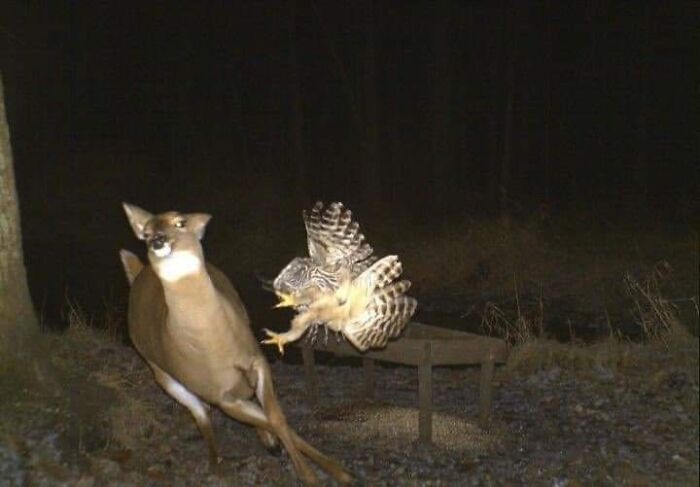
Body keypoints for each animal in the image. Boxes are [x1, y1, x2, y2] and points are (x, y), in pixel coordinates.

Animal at [119, 203, 353, 486]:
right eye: (146, 233)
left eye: (180, 222)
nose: (157, 240)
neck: (214, 346)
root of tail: (138, 274)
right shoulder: (221, 397)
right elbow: (268, 420)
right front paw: (311, 476)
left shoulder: (257, 360)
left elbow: (278, 418)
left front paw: (339, 471)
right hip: (162, 374)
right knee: (202, 416)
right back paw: (216, 464)